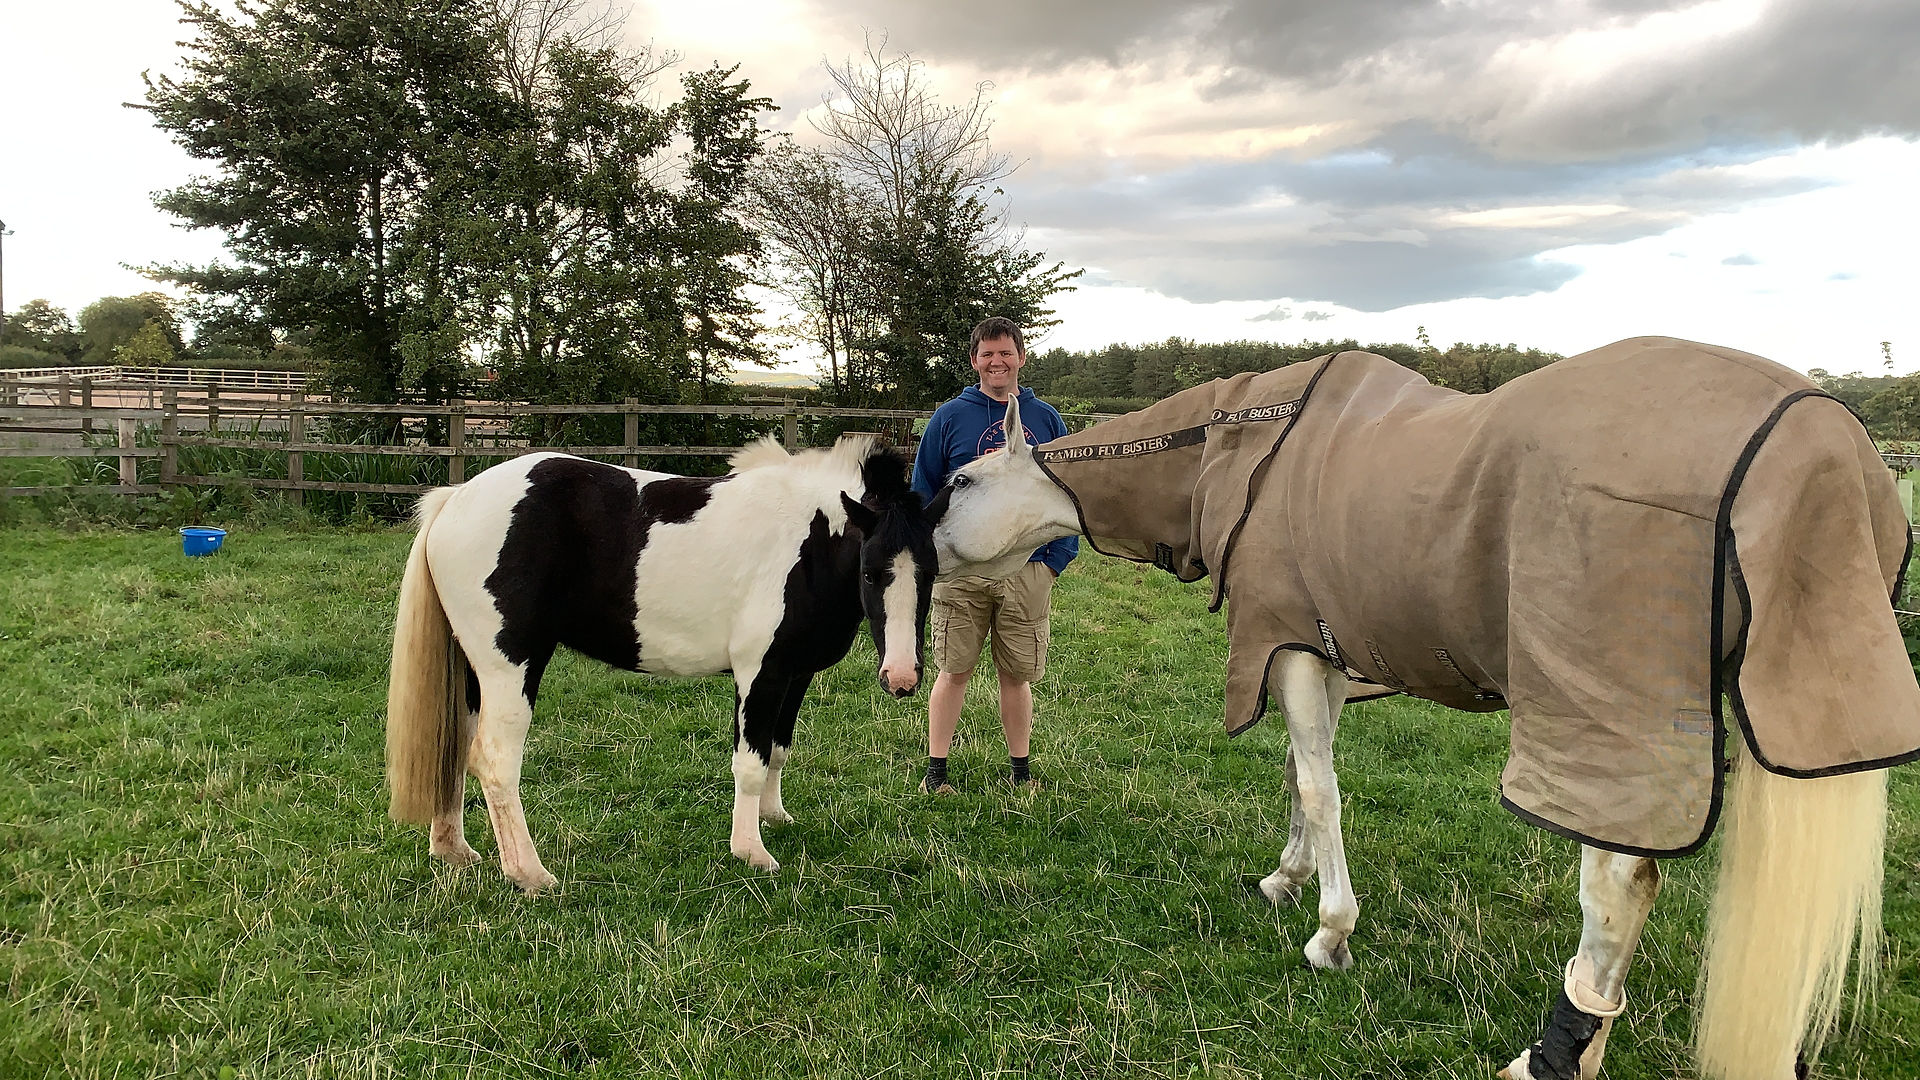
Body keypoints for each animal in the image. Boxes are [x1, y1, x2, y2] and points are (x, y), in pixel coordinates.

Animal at [384, 435, 943, 888]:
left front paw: (774, 818)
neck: (807, 541)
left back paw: (453, 849)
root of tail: (455, 499)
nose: (902, 677)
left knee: (455, 745)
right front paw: (751, 851)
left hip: (474, 674)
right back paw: (529, 874)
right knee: (495, 760)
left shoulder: (794, 674)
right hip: (511, 670)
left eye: (932, 572)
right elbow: (750, 762)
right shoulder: (758, 674)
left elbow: (778, 752)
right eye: (870, 572)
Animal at [928, 338, 1920, 1080]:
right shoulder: (1317, 652)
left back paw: (1552, 1057)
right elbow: (1304, 774)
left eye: (965, 484)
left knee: (1619, 884)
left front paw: (1331, 933)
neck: (1247, 449)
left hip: (1606, 718)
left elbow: (1320, 788)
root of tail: (1814, 438)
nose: (917, 549)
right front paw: (1286, 880)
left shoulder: (1287, 650)